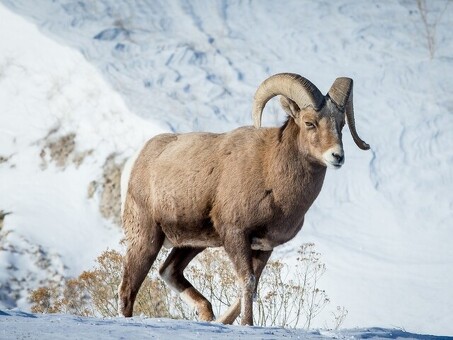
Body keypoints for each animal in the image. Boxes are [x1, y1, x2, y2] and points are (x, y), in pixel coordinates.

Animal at [118, 73, 370, 326]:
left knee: (168, 272)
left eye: (341, 125)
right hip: (146, 239)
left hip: (191, 244)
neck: (271, 176)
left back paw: (208, 316)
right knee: (128, 289)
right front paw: (248, 324)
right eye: (310, 123)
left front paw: (225, 322)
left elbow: (253, 285)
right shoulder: (236, 235)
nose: (337, 156)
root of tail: (141, 157)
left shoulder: (264, 246)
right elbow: (247, 281)